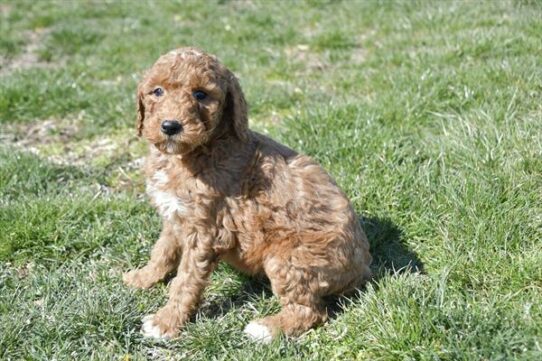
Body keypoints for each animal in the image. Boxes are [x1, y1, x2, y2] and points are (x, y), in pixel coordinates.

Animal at [123, 47, 372, 340]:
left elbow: (186, 280)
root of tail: (362, 269)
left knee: (310, 311)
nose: (170, 126)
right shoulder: (175, 216)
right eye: (158, 91)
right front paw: (143, 277)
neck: (195, 152)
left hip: (288, 259)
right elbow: (162, 251)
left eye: (200, 94)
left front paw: (166, 321)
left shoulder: (206, 232)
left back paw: (265, 329)